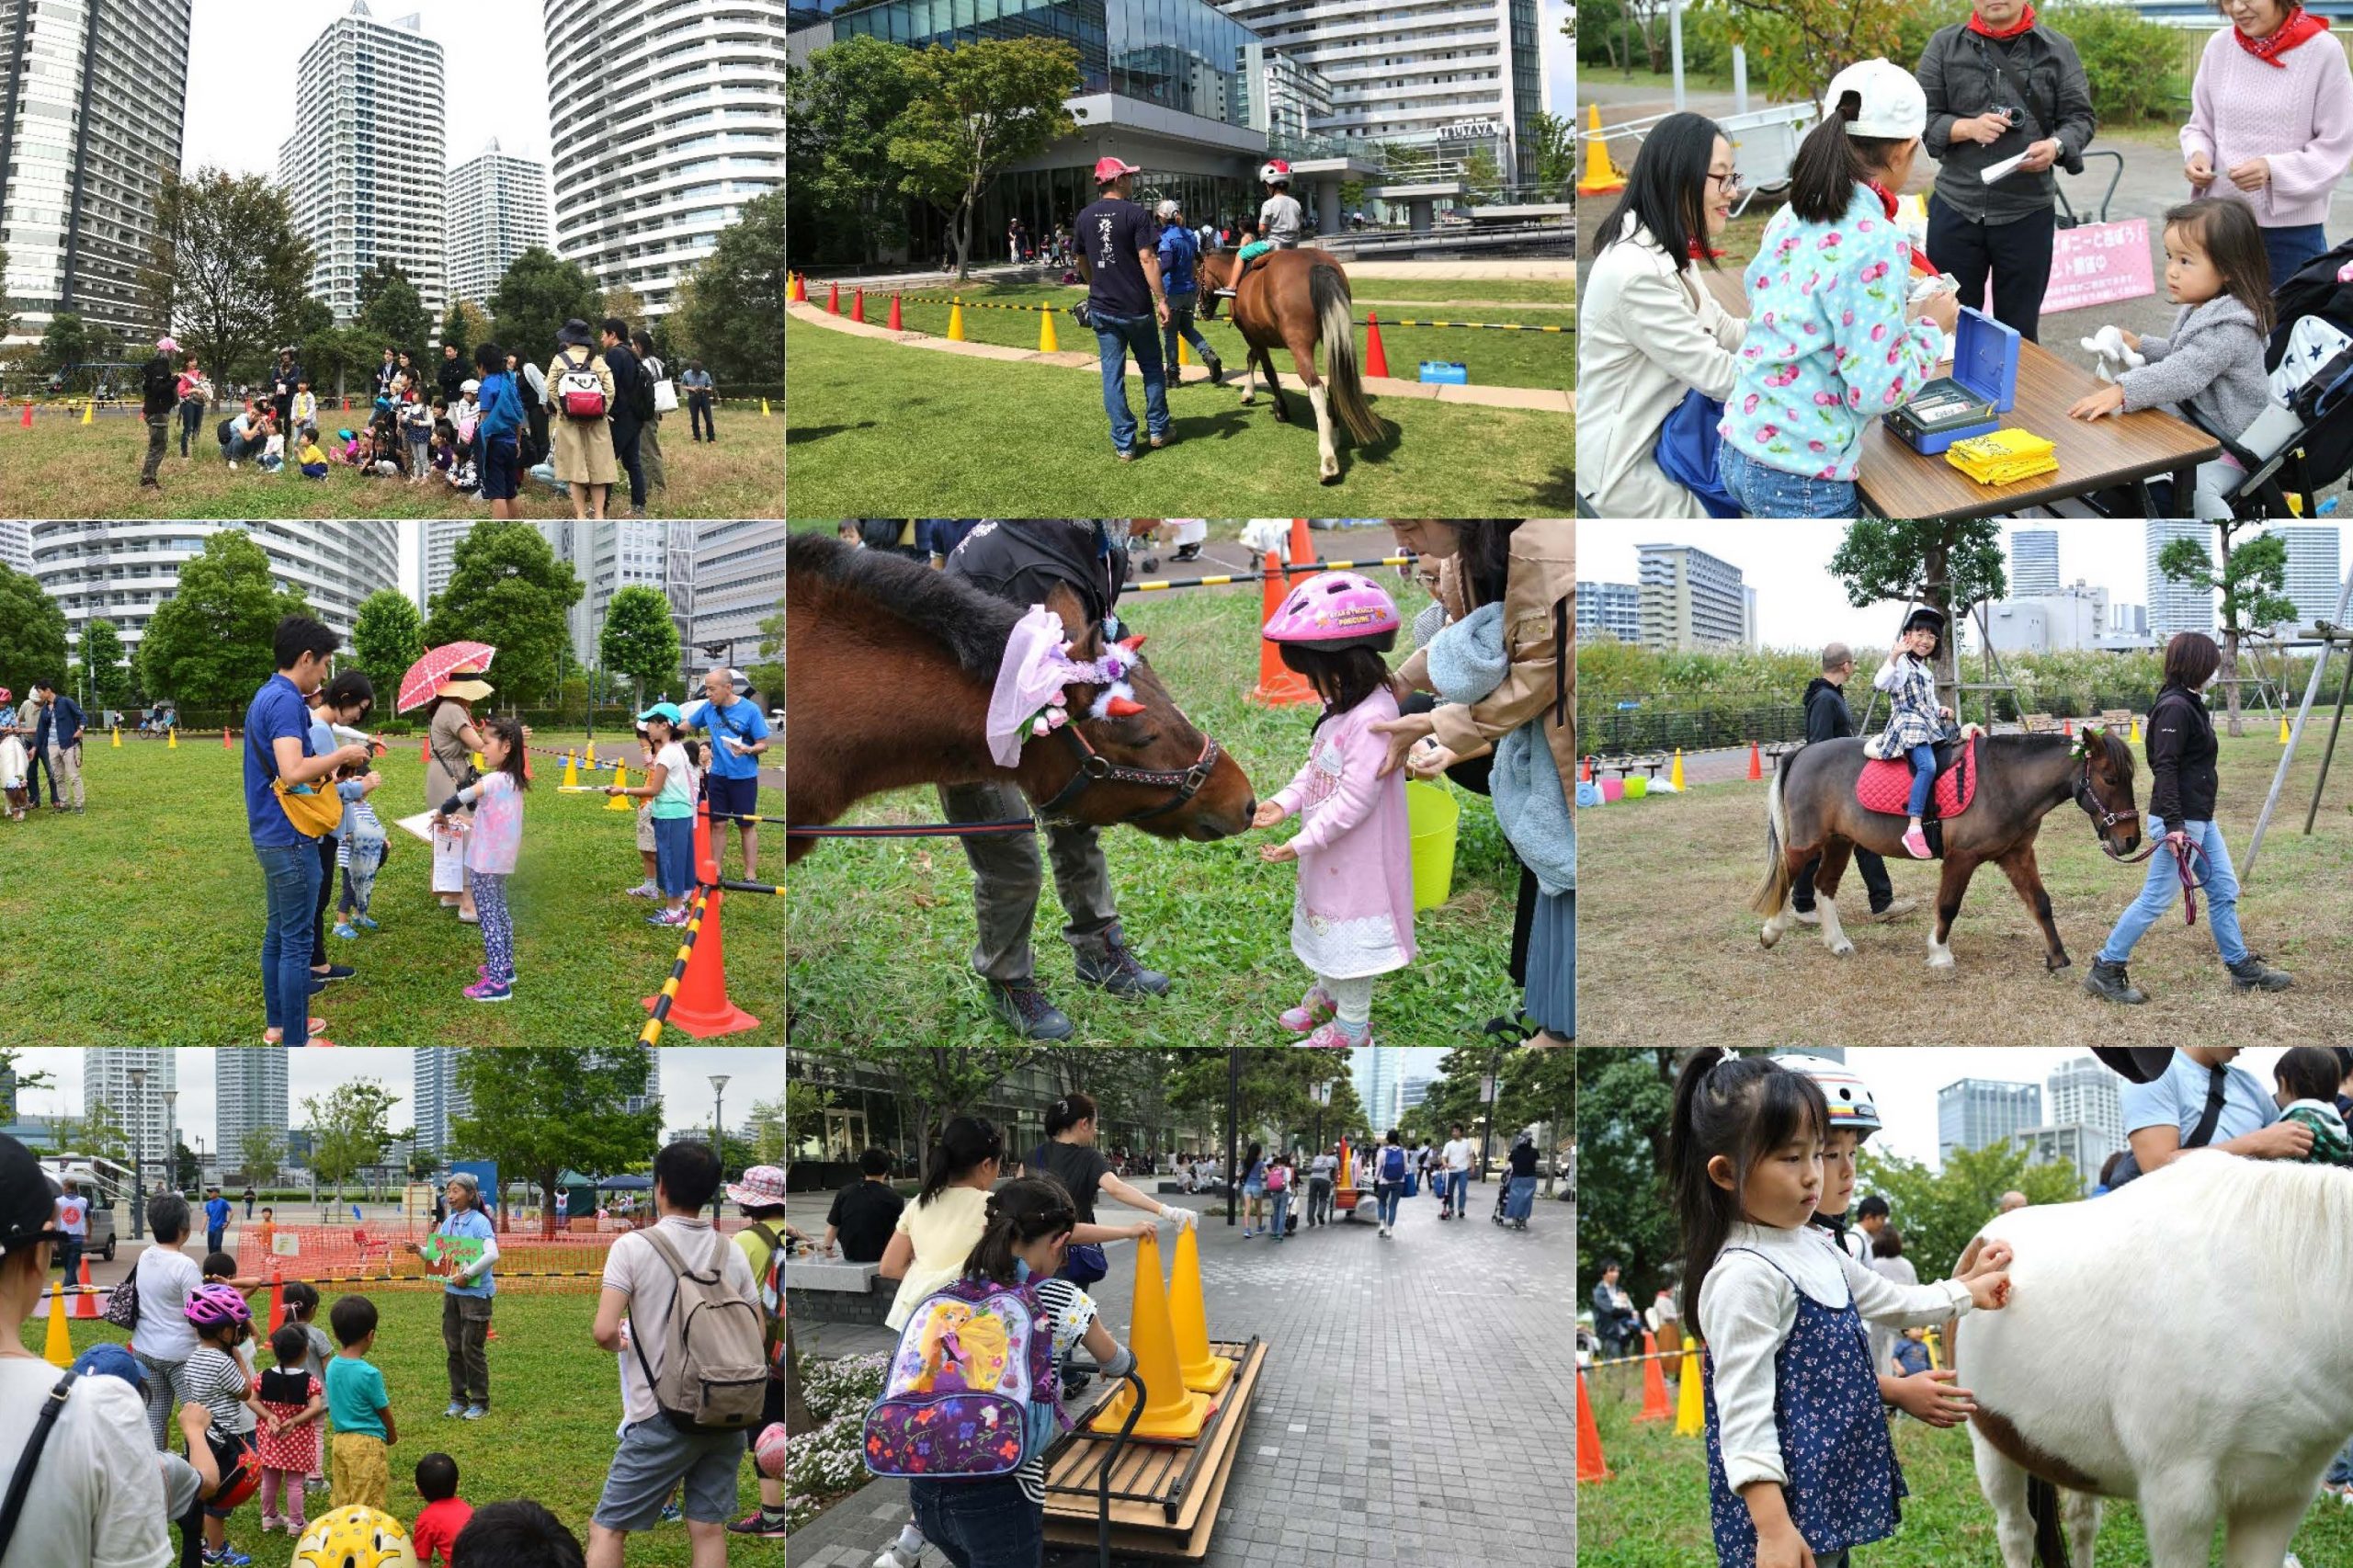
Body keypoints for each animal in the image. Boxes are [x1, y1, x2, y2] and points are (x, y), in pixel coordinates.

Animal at [1195, 245, 1374, 483]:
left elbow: (1268, 371)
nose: (1201, 310)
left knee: (1316, 387)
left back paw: (1328, 460)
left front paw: (1280, 408)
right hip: (1332, 337)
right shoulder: (1257, 336)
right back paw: (1333, 436)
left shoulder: (1252, 336)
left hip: (1299, 344)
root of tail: (1317, 263)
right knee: (1333, 382)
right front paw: (1249, 393)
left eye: (1196, 276)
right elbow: (1252, 359)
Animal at [1750, 730, 2154, 970]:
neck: (2004, 781)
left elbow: (2040, 903)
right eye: (2110, 778)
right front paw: (1940, 953)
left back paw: (1837, 943)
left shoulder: (2018, 855)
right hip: (1807, 843)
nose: (2131, 840)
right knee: (1787, 876)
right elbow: (1948, 905)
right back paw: (1772, 932)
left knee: (1825, 885)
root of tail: (1802, 753)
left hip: (1840, 842)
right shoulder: (1962, 858)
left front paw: (2058, 958)